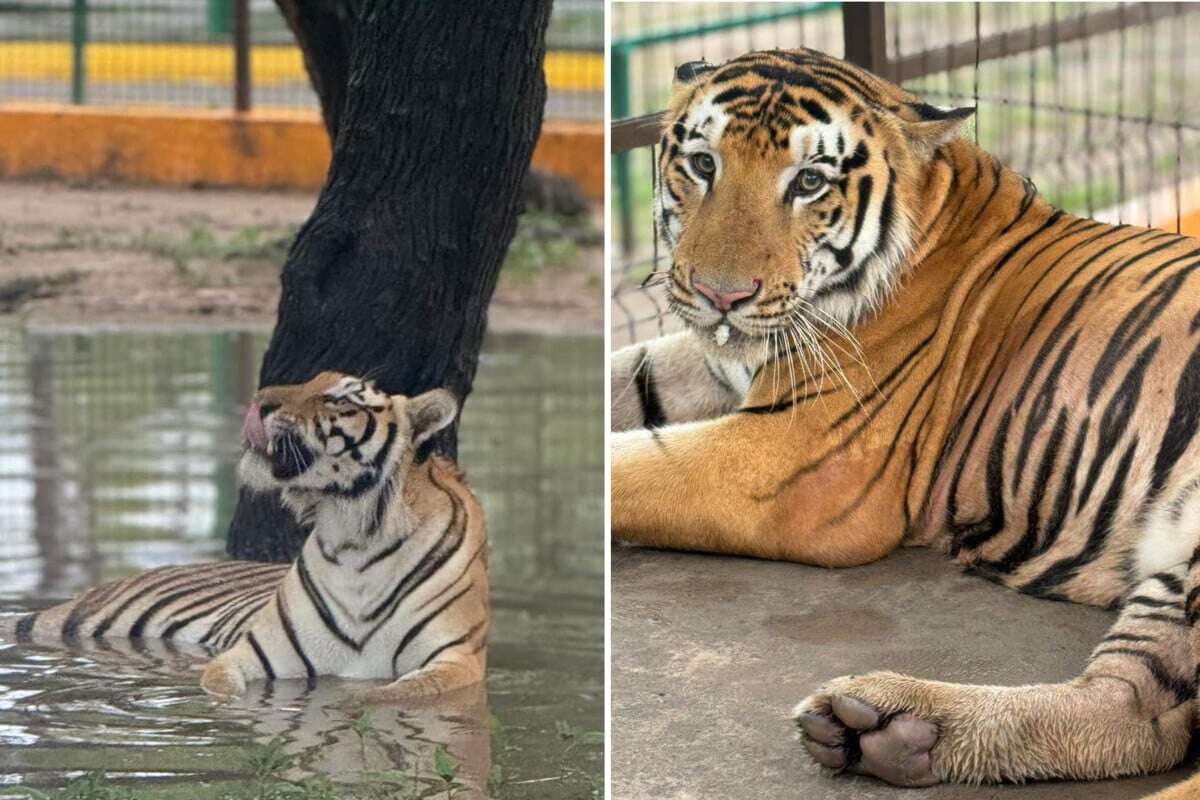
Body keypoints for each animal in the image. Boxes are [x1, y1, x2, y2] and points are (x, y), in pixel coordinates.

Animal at [3, 374, 487, 700]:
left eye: (336, 398)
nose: (260, 400)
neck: (356, 538)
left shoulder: (455, 660)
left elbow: (391, 694)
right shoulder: (256, 656)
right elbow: (221, 684)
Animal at [614, 48, 1200, 796]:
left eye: (809, 182)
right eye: (703, 164)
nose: (722, 296)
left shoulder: (791, 464)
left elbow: (627, 467)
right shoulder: (720, 369)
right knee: (1140, 710)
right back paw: (889, 729)